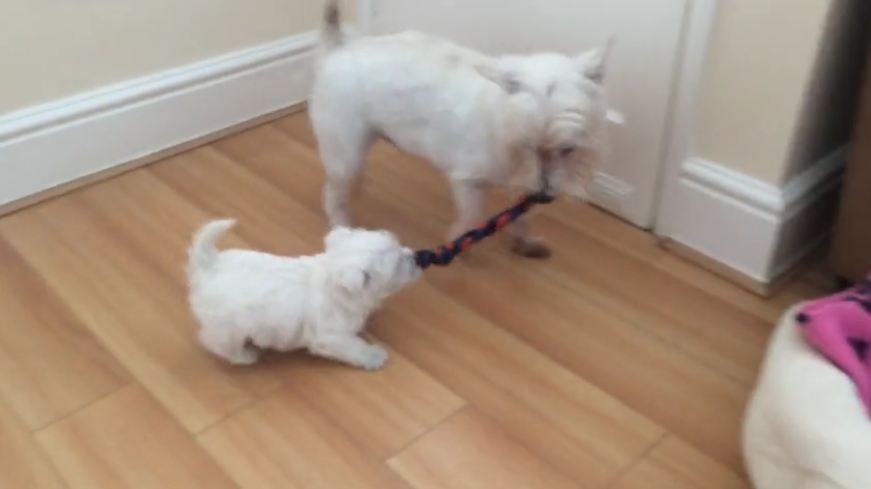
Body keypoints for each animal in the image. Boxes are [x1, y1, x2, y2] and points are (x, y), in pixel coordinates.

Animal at [187, 219, 422, 368]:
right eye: (398, 265)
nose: (419, 256)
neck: (332, 281)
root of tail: (211, 264)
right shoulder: (330, 336)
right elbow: (352, 346)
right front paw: (374, 356)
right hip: (227, 326)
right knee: (218, 342)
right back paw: (244, 356)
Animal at [314, 0, 612, 258]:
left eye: (569, 149)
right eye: (526, 144)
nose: (545, 196)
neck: (503, 123)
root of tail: (339, 47)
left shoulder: (526, 182)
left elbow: (523, 214)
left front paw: (524, 241)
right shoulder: (468, 180)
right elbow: (471, 216)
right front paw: (460, 239)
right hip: (345, 145)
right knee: (333, 192)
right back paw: (342, 222)